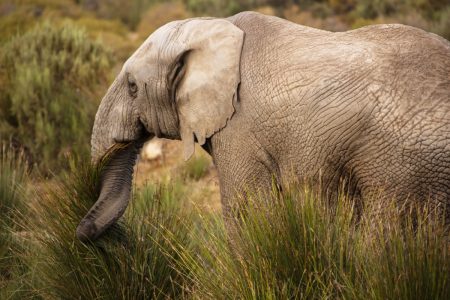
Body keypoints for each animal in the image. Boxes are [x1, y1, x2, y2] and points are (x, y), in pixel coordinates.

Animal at [75, 11, 448, 243]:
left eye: (132, 87)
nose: (82, 234)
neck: (212, 27)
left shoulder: (239, 127)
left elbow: (247, 212)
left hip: (405, 160)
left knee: (386, 231)